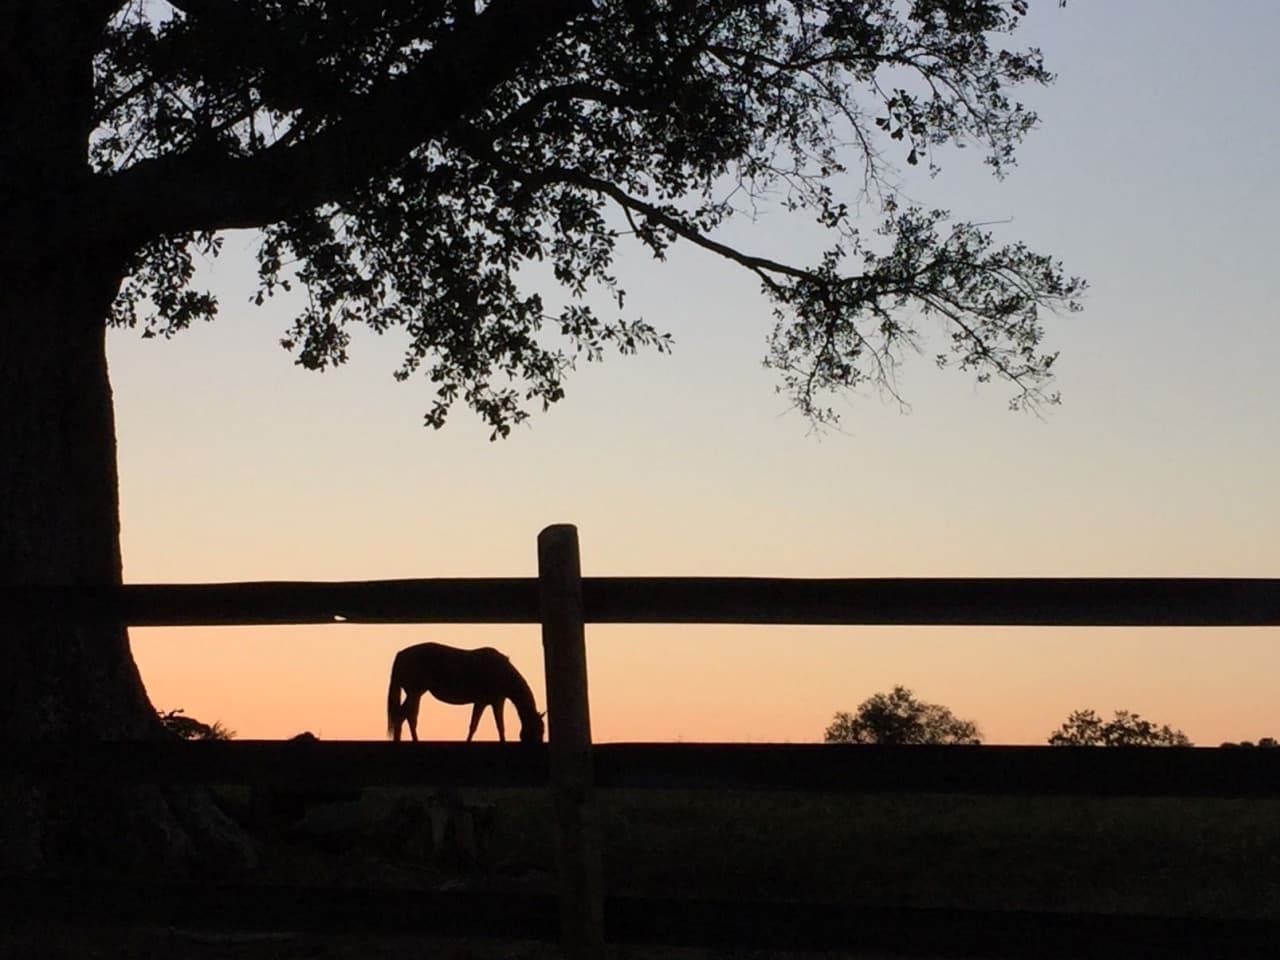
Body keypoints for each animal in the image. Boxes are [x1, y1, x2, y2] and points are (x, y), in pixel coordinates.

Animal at [386, 642, 545, 743]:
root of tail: (401, 654)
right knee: (406, 715)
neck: (501, 672)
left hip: (416, 693)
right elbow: (473, 726)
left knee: (405, 715)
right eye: (539, 730)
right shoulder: (481, 702)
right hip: (414, 692)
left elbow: (500, 727)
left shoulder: (497, 702)